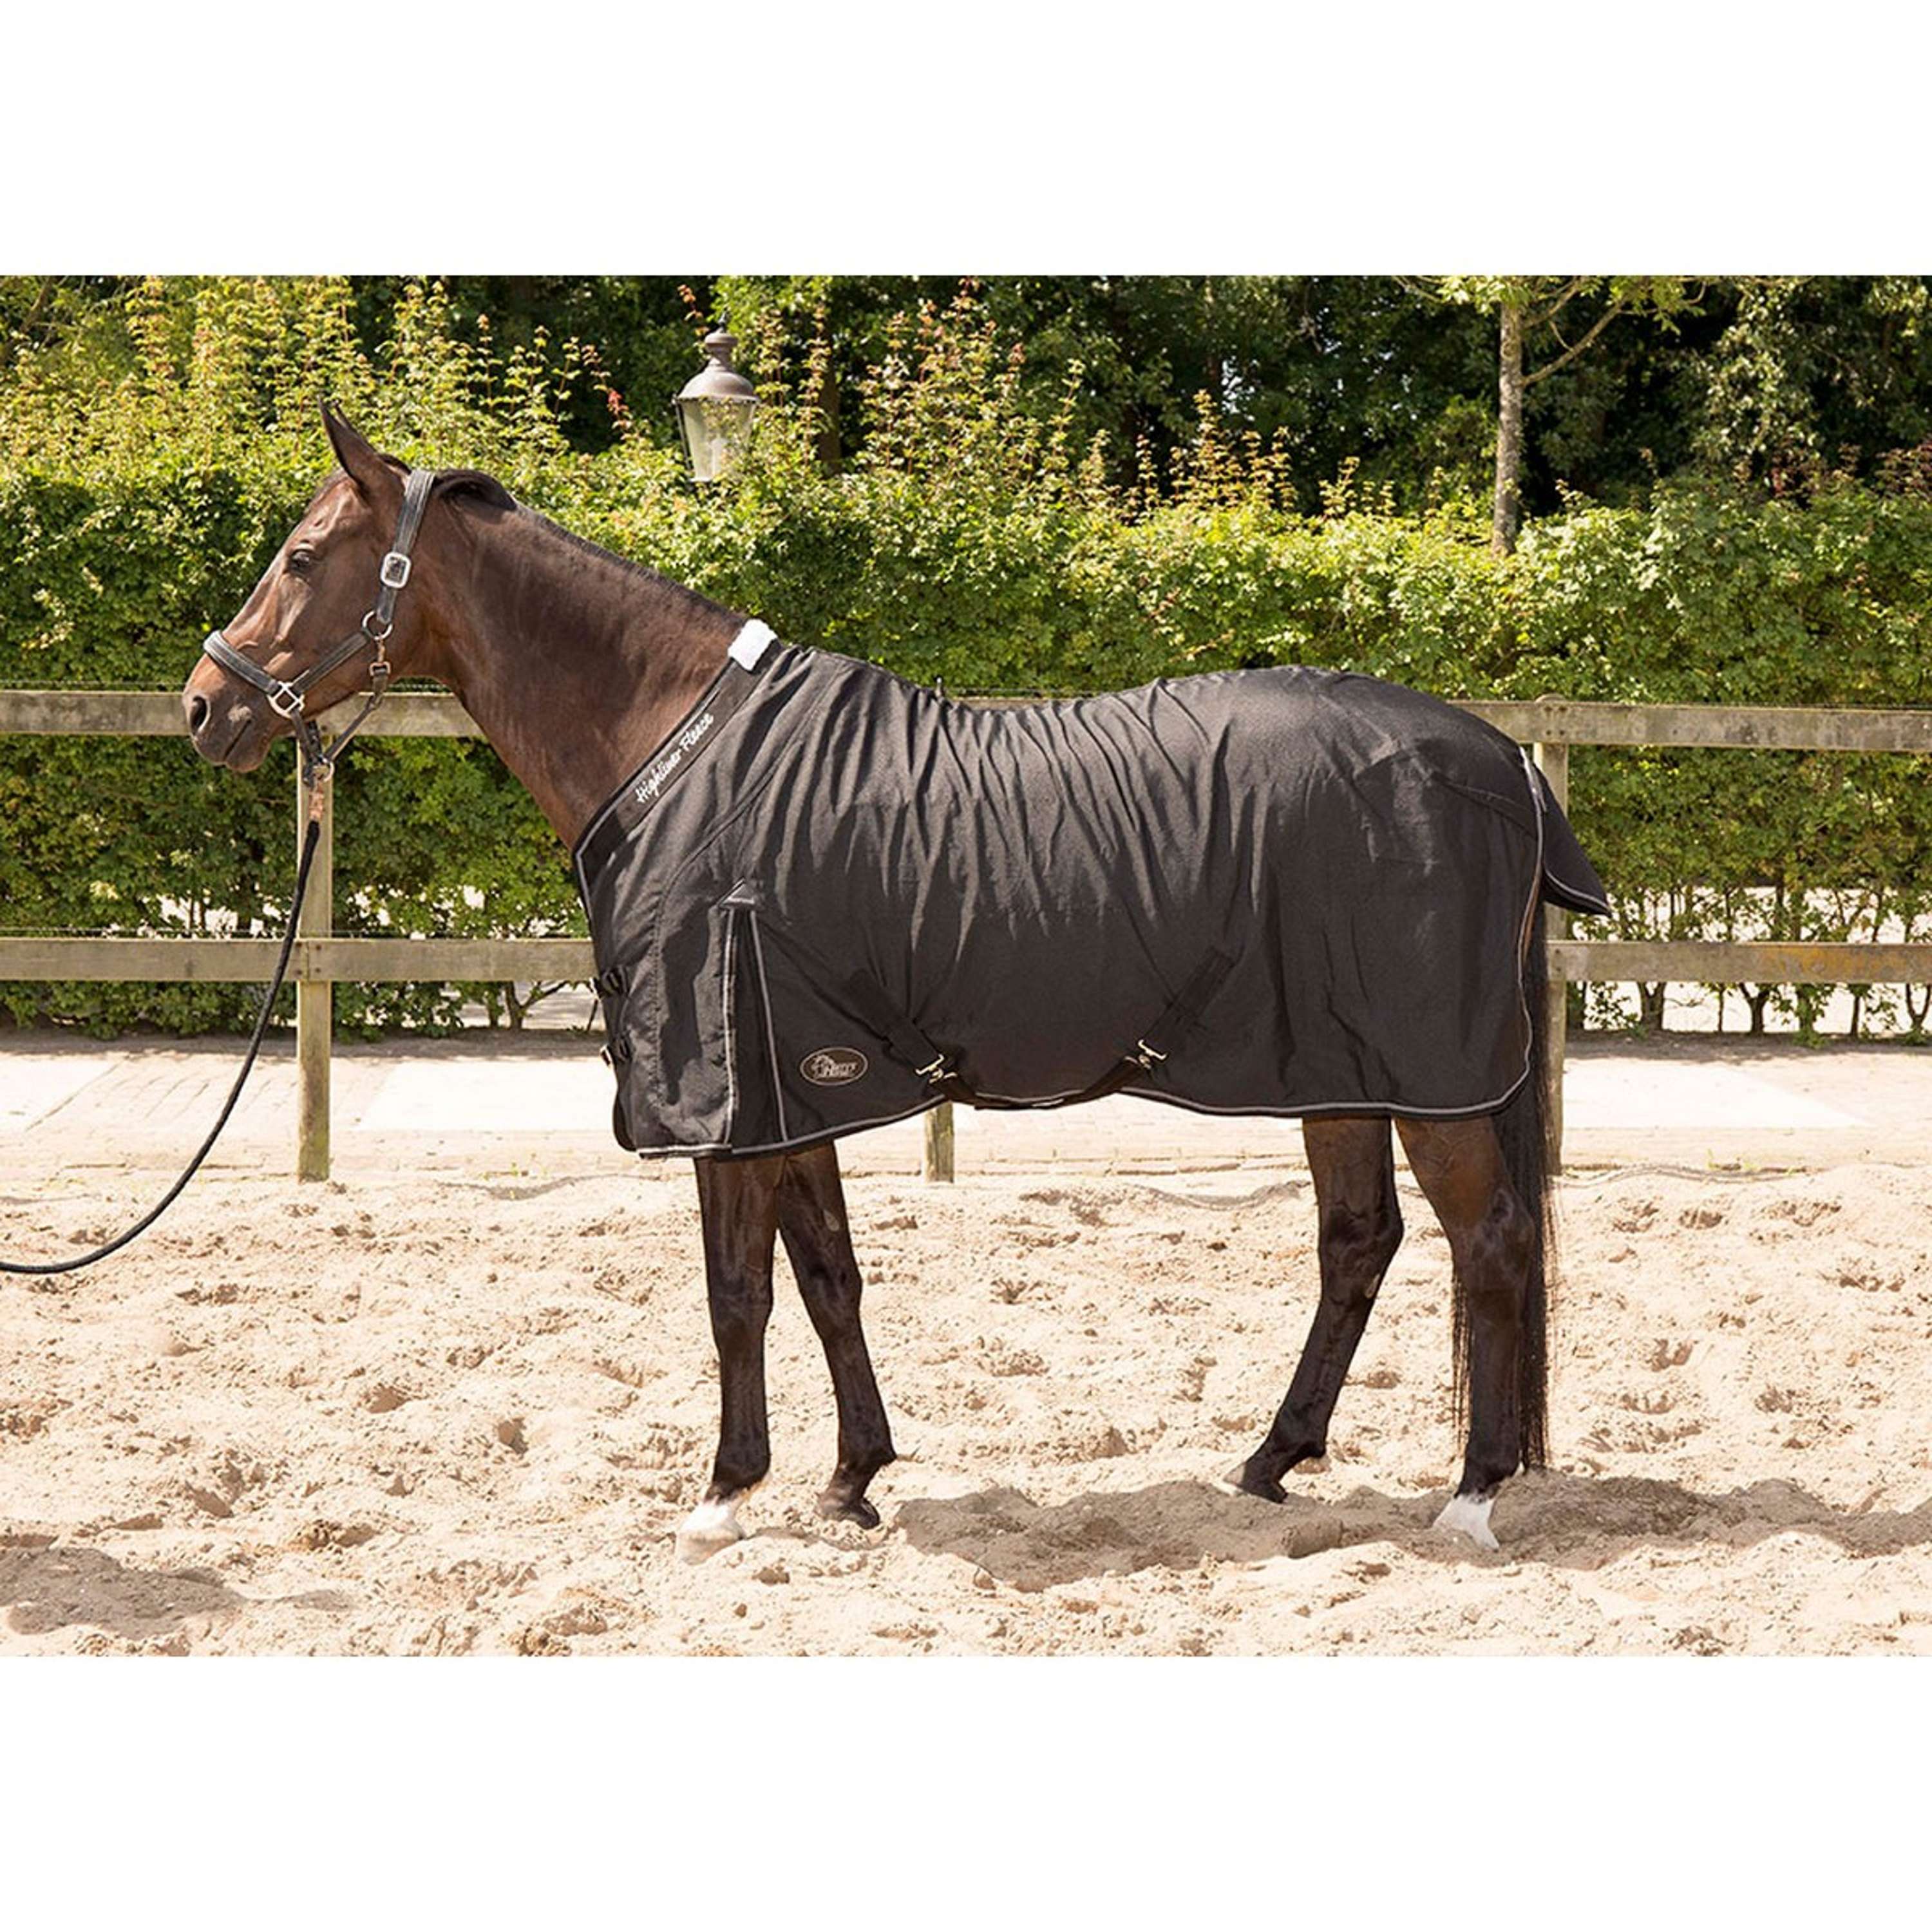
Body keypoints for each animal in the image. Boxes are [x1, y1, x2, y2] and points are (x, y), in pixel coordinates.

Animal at [182, 405, 1609, 1561]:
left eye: (300, 559)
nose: (206, 707)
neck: (676, 750)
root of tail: (1501, 763)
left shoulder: (731, 1095)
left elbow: (738, 1294)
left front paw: (724, 1497)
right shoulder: (792, 1086)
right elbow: (828, 1277)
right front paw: (851, 1481)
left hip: (1425, 1076)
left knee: (1489, 1242)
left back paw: (1472, 1497)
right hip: (1337, 1066)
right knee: (1360, 1242)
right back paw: (1268, 1463)